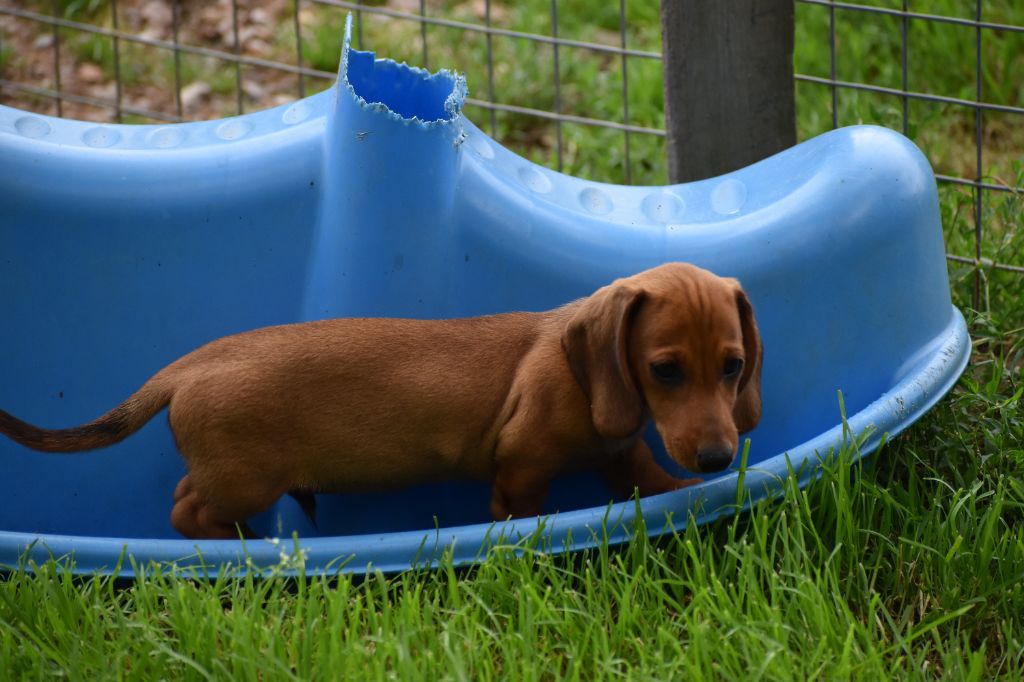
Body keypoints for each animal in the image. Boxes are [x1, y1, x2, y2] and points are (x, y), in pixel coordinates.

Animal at [0, 262, 753, 540]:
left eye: (733, 366)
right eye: (664, 371)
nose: (720, 459)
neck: (582, 374)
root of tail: (185, 368)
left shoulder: (623, 455)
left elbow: (656, 482)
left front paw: (694, 492)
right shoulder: (523, 468)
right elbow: (521, 509)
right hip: (245, 480)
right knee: (187, 511)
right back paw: (241, 547)